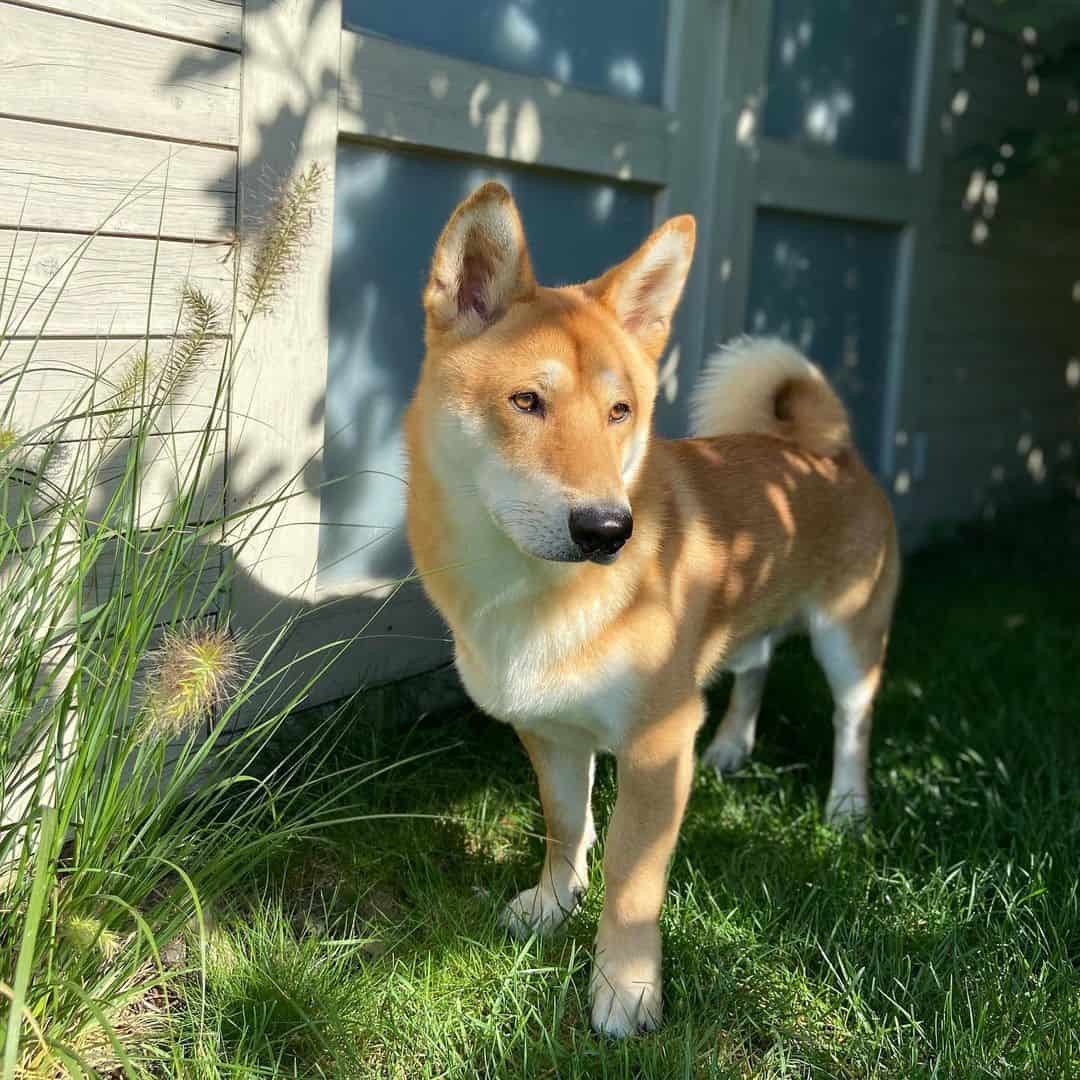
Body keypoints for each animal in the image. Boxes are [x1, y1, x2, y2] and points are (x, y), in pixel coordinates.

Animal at [401, 183, 898, 1036]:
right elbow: (566, 824)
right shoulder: (549, 728)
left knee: (851, 721)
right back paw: (732, 745)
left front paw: (625, 991)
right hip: (744, 625)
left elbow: (632, 883)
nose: (608, 529)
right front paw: (552, 903)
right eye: (526, 401)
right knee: (757, 668)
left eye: (620, 411)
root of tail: (828, 449)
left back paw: (846, 808)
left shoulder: (660, 746)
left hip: (848, 637)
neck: (534, 598)